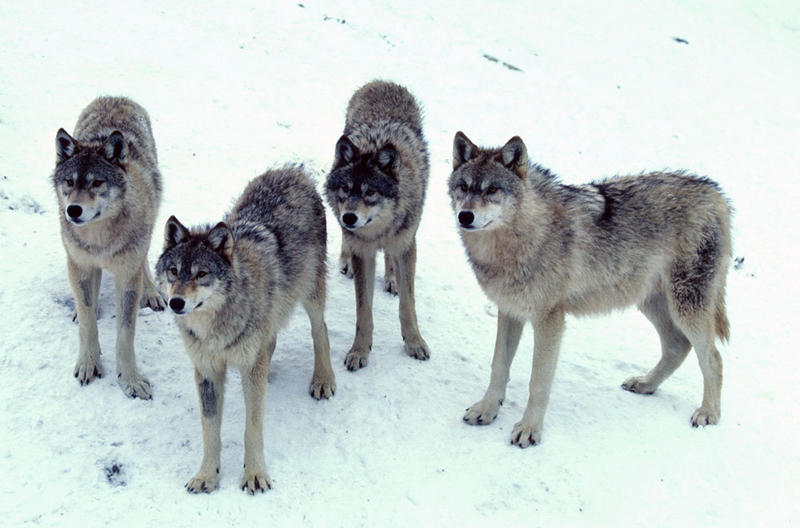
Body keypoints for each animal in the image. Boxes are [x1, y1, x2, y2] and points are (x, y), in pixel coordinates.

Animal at [52, 96, 165, 399]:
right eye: (70, 182)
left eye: (96, 183)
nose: (73, 210)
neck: (99, 240)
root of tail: (114, 97)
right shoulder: (79, 263)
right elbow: (88, 321)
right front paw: (88, 364)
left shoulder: (127, 274)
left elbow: (126, 334)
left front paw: (130, 380)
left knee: (144, 260)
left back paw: (152, 293)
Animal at [155, 166, 336, 494]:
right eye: (173, 271)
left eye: (201, 274)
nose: (175, 302)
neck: (216, 329)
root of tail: (293, 170)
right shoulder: (207, 371)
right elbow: (210, 431)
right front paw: (206, 476)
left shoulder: (249, 367)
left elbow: (252, 427)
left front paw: (254, 475)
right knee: (271, 342)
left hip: (311, 293)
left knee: (321, 331)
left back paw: (323, 380)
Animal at [325, 80, 431, 370]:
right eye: (346, 189)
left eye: (370, 192)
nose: (350, 217)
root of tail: (382, 82)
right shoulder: (363, 251)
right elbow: (363, 311)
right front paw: (359, 351)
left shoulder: (406, 245)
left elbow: (408, 305)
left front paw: (414, 343)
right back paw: (346, 262)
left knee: (391, 258)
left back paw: (392, 279)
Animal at [449, 132, 732, 447]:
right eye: (464, 187)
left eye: (492, 190)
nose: (465, 216)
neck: (521, 238)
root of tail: (715, 193)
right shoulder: (509, 311)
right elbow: (498, 366)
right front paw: (486, 409)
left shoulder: (549, 320)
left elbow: (538, 382)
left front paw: (529, 429)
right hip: (650, 302)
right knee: (677, 345)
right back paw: (646, 385)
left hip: (686, 307)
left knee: (713, 358)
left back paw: (708, 413)